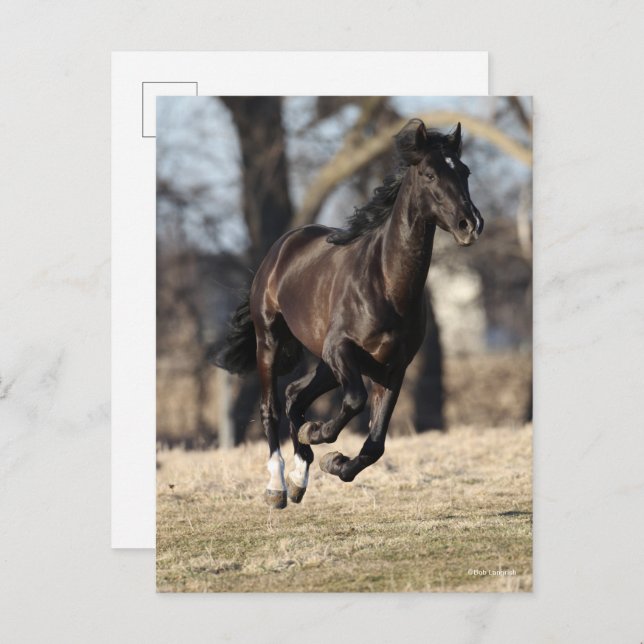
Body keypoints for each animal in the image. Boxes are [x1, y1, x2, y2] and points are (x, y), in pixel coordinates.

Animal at [215, 118, 483, 509]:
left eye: (464, 171)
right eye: (430, 174)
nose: (471, 224)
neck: (385, 284)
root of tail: (282, 247)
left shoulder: (393, 369)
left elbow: (376, 443)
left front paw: (333, 460)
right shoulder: (341, 350)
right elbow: (354, 402)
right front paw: (317, 434)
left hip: (326, 366)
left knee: (294, 394)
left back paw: (300, 477)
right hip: (272, 342)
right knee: (272, 408)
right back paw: (278, 487)